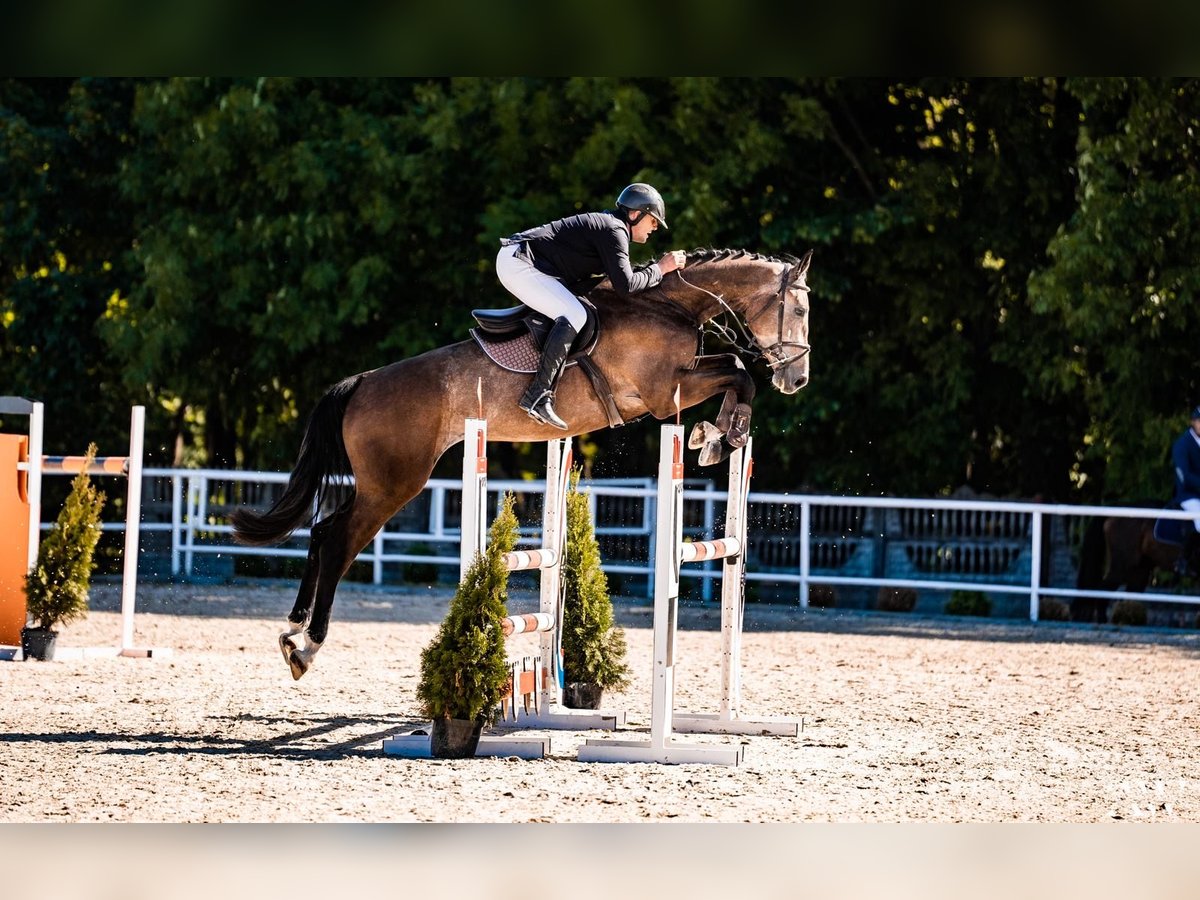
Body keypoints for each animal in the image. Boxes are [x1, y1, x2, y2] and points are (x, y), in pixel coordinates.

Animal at [231, 247, 816, 676]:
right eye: (800, 311)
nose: (798, 380)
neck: (665, 306)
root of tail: (361, 383)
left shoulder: (675, 385)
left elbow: (736, 369)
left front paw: (717, 437)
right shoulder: (662, 393)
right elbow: (738, 370)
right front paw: (718, 436)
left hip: (379, 482)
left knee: (321, 530)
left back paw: (293, 628)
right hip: (394, 484)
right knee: (338, 541)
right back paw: (307, 646)